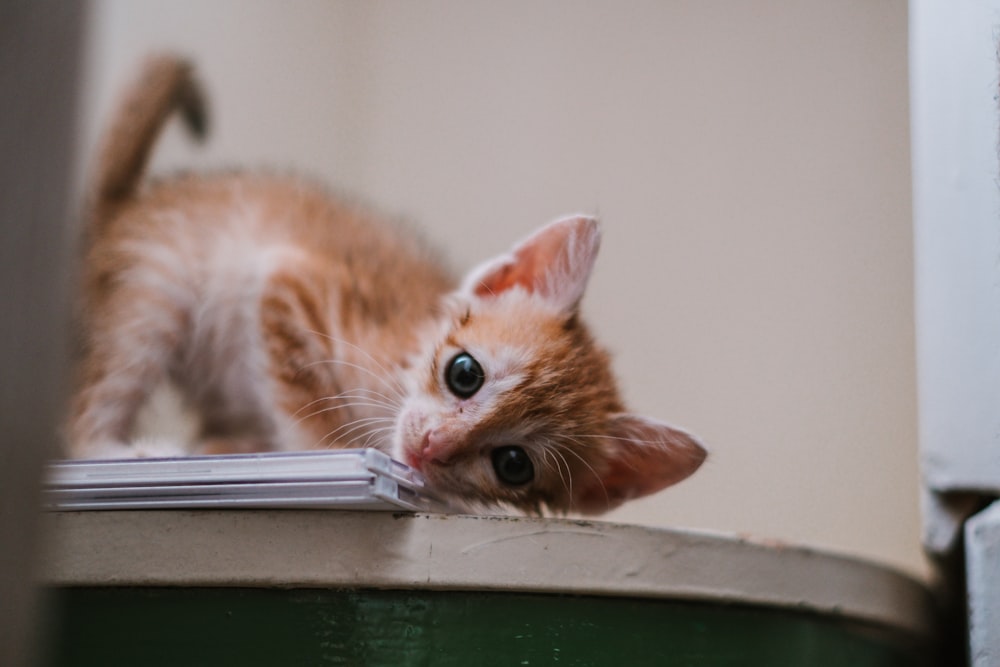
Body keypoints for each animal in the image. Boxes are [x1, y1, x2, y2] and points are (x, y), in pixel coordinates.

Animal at [68, 57, 704, 516]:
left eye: (514, 464)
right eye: (464, 373)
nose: (432, 447)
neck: (397, 374)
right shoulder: (290, 284)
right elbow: (305, 416)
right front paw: (327, 454)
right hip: (155, 285)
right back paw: (132, 453)